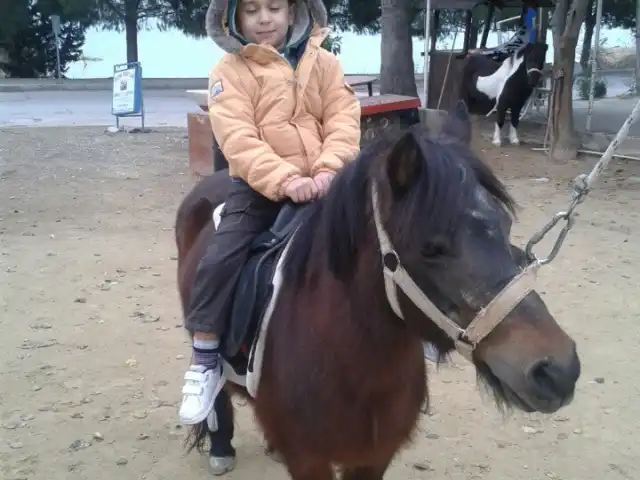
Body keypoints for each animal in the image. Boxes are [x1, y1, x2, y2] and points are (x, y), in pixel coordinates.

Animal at [175, 103, 580, 478]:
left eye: (506, 225)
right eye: (431, 248)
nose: (557, 370)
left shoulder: (374, 457)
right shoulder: (309, 460)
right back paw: (220, 446)